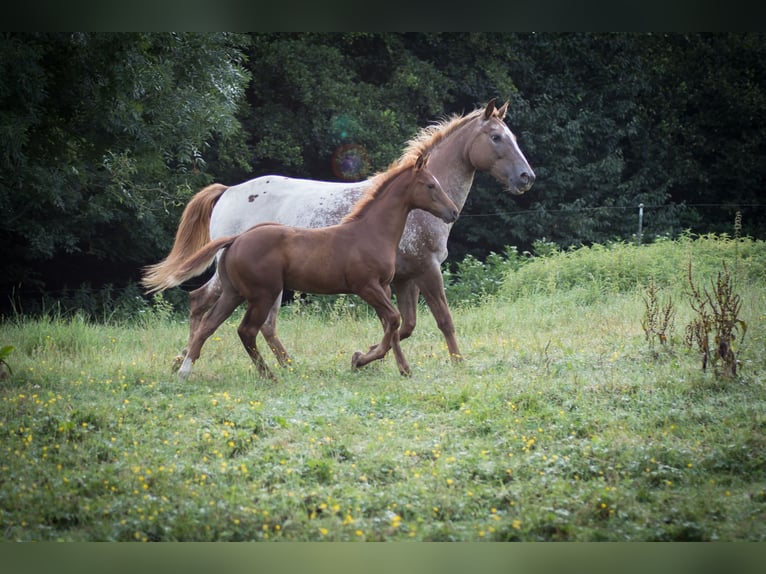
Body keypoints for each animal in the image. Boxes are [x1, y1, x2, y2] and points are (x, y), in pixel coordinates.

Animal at [148, 154, 460, 382]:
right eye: (430, 185)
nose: (453, 212)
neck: (370, 231)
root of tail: (236, 239)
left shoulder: (383, 286)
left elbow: (393, 324)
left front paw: (398, 367)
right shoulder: (366, 286)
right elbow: (394, 320)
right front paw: (361, 359)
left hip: (233, 293)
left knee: (209, 325)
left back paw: (186, 370)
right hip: (262, 295)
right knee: (246, 330)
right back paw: (270, 374)